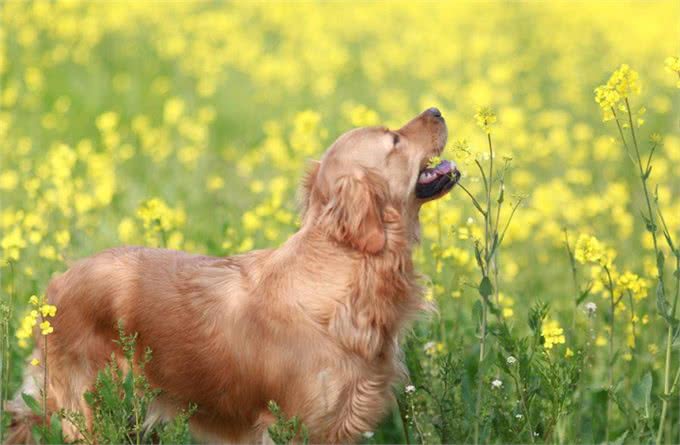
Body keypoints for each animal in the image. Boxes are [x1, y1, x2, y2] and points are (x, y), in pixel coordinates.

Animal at [5, 106, 460, 440]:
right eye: (394, 138)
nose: (437, 109)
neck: (349, 271)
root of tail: (54, 285)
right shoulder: (297, 426)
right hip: (92, 411)